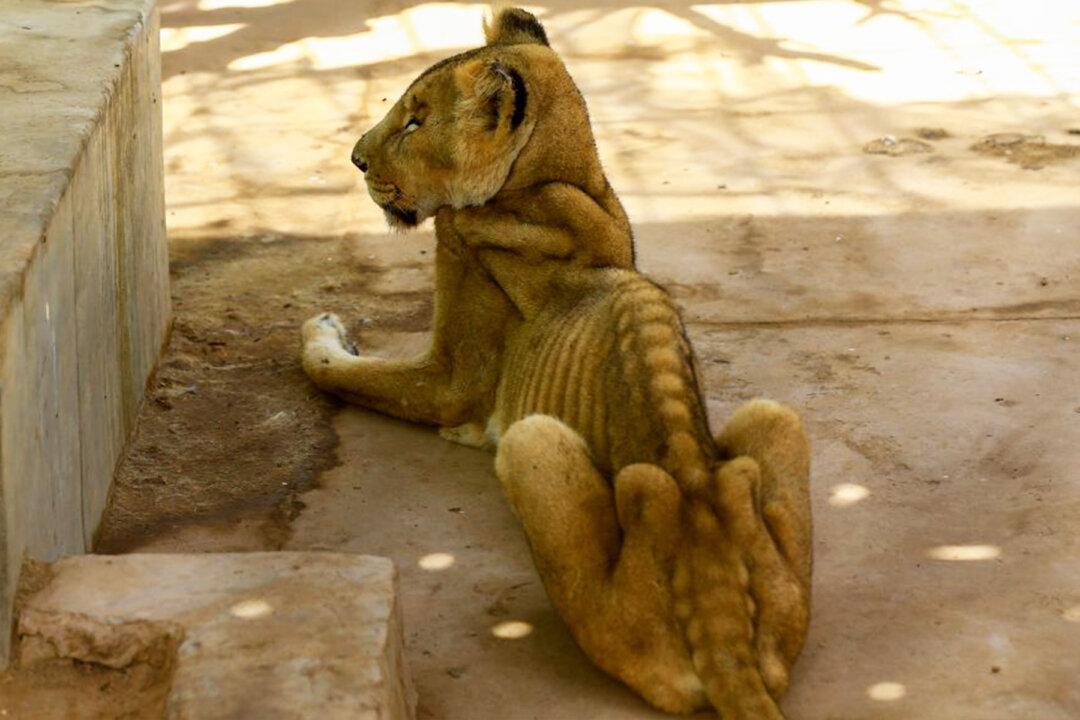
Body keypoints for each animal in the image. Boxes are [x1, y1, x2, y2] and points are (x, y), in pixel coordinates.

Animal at [301, 8, 812, 718]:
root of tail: (723, 625)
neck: (558, 181)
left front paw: (318, 330)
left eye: (415, 120)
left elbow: (341, 371)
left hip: (530, 444)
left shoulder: (450, 375)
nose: (354, 160)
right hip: (778, 424)